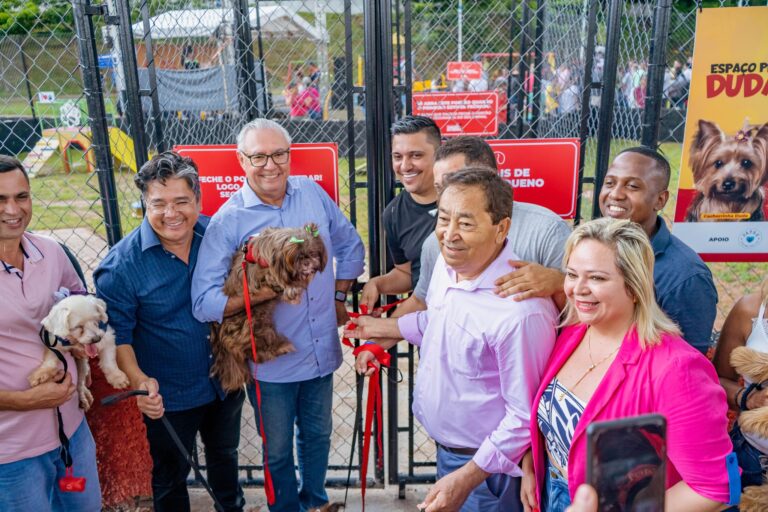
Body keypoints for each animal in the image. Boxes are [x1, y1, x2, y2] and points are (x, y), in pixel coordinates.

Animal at [210, 223, 328, 392]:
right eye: (298, 257)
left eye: (312, 253)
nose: (307, 262)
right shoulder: (265, 273)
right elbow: (278, 279)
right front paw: (292, 288)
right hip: (253, 325)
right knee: (253, 351)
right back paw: (280, 347)